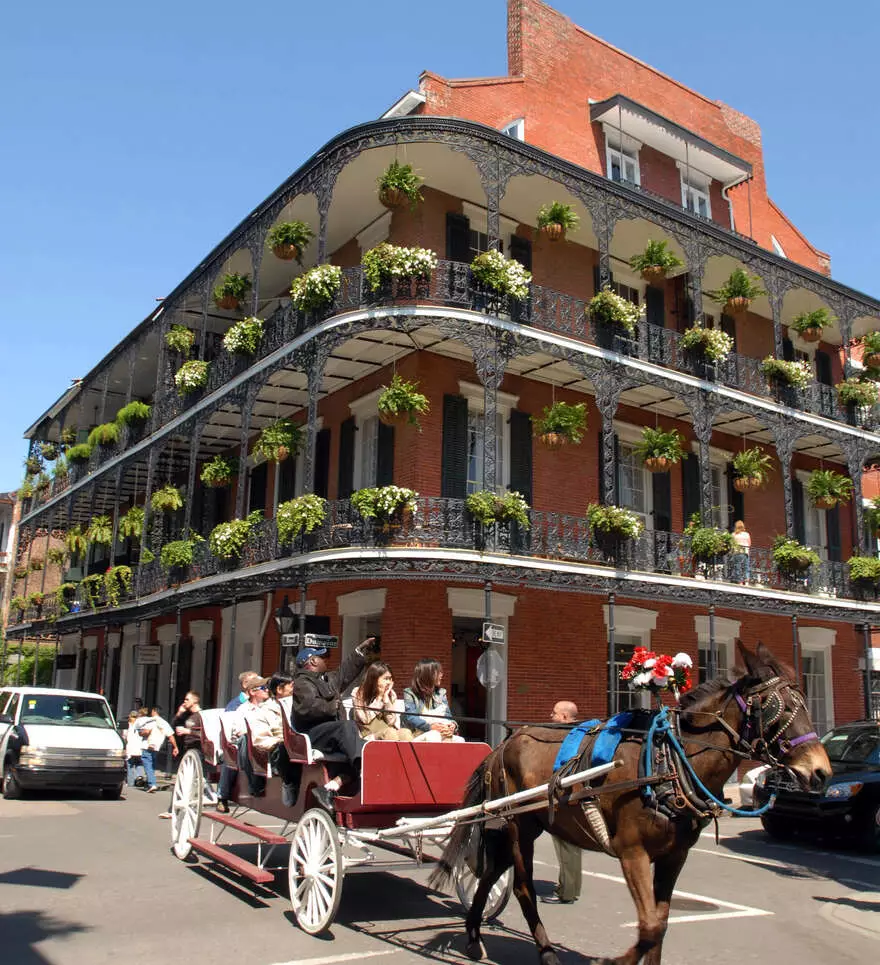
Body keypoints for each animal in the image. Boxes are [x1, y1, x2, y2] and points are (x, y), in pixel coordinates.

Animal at [434, 640, 832, 964]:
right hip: (519, 826)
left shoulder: (674, 856)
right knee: (522, 887)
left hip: (524, 825)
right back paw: (545, 951)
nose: (820, 771)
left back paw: (473, 936)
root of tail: (503, 743)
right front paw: (612, 961)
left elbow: (661, 924)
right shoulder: (632, 852)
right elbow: (650, 926)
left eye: (804, 702)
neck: (668, 760)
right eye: (775, 706)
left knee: (489, 874)